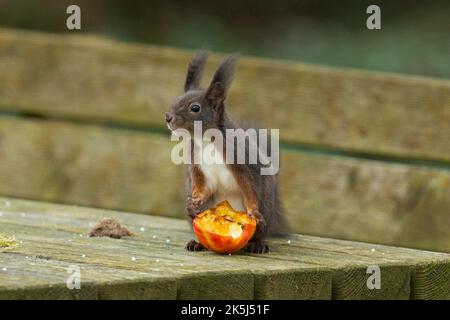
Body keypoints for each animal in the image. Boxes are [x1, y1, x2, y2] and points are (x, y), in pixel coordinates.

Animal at [167, 51, 286, 254]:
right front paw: (192, 203)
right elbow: (203, 188)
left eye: (195, 108)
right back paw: (197, 242)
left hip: (267, 204)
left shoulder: (242, 161)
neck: (205, 140)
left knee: (261, 232)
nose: (168, 117)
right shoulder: (197, 167)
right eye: (175, 100)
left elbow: (250, 189)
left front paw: (254, 213)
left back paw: (257, 244)